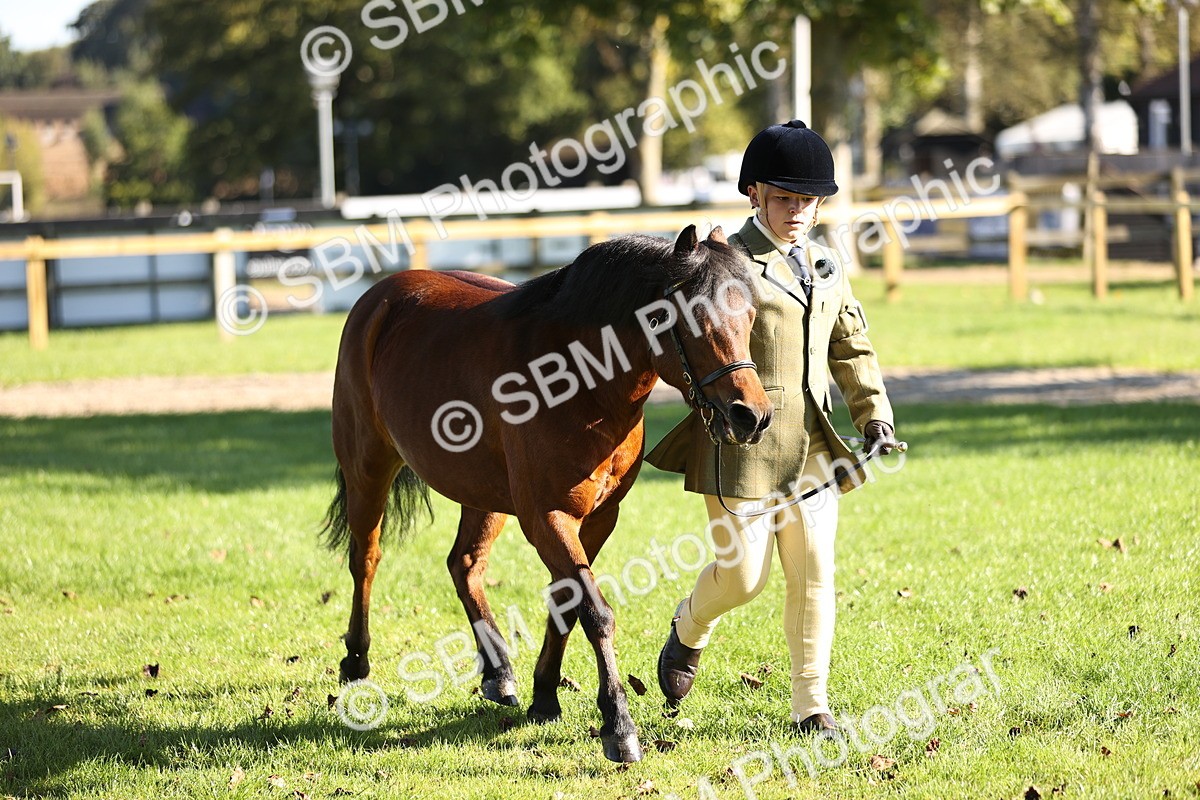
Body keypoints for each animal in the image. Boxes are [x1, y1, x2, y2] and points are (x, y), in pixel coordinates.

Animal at [323, 224, 773, 762]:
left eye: (750, 315)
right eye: (694, 317)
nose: (751, 416)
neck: (577, 379)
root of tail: (379, 298)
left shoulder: (597, 519)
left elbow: (566, 602)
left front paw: (545, 696)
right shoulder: (547, 517)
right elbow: (595, 612)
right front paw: (618, 724)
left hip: (483, 492)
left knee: (465, 564)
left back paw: (499, 673)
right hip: (368, 467)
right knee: (365, 558)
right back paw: (355, 660)